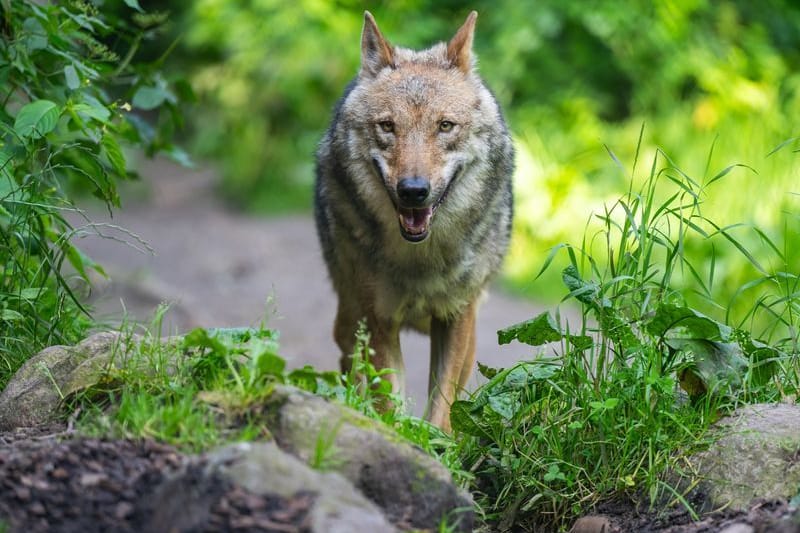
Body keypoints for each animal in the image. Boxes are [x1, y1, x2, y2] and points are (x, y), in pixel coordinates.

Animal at [312, 10, 512, 430]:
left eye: (445, 126)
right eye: (388, 126)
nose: (413, 191)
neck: (421, 260)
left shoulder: (457, 316)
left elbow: (442, 405)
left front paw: (435, 442)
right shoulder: (378, 319)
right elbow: (389, 401)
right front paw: (394, 434)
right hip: (350, 316)